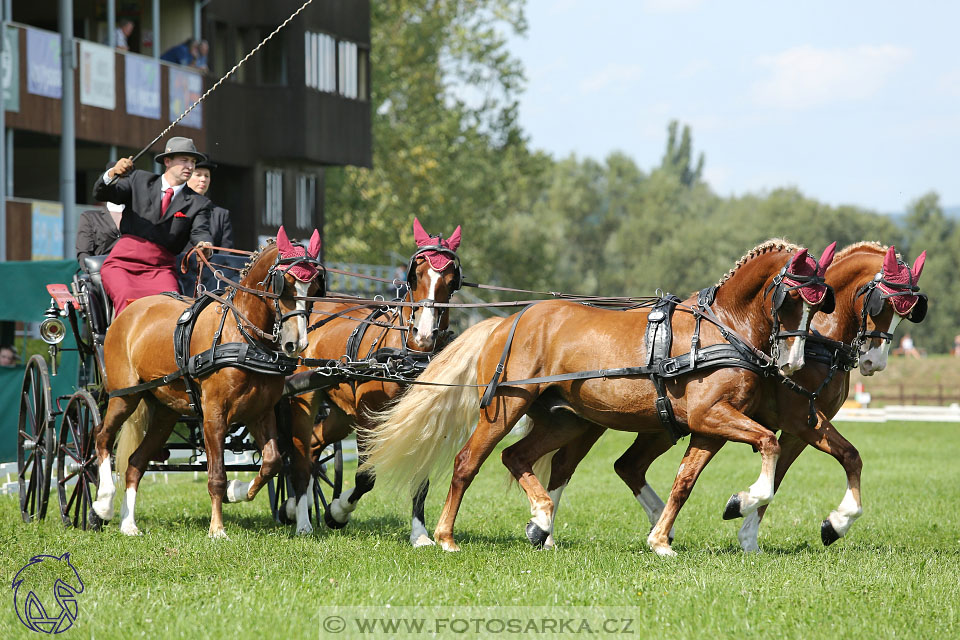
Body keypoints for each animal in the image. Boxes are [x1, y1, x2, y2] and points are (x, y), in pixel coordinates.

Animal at [94, 228, 326, 536]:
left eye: (314, 289)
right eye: (284, 285)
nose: (295, 344)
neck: (243, 337)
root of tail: (131, 311)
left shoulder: (260, 412)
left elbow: (272, 462)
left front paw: (236, 491)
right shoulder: (214, 414)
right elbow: (216, 474)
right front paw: (217, 529)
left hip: (165, 413)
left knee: (135, 463)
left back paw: (128, 524)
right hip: (124, 396)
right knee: (102, 438)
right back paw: (103, 503)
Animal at [282, 219, 462, 540]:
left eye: (452, 281)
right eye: (415, 275)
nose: (424, 334)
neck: (407, 358)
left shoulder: (424, 422)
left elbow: (421, 480)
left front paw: (420, 534)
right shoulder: (368, 417)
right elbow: (365, 477)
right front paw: (337, 512)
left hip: (342, 413)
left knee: (314, 447)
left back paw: (294, 506)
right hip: (306, 397)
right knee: (301, 457)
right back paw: (302, 519)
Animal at [364, 240, 836, 552]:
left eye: (819, 304)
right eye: (790, 298)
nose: (794, 361)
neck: (720, 328)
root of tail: (505, 322)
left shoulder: (709, 426)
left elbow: (685, 481)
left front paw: (662, 540)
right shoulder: (711, 416)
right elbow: (770, 443)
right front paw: (742, 500)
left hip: (565, 419)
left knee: (517, 457)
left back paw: (542, 521)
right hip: (505, 407)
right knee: (468, 461)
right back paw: (445, 537)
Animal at [532, 242, 928, 552]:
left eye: (908, 312)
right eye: (881, 304)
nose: (875, 361)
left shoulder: (801, 428)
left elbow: (835, 460)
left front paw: (826, 524)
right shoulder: (799, 420)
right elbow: (783, 468)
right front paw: (745, 513)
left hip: (648, 425)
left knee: (624, 466)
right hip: (591, 423)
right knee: (565, 467)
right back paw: (545, 530)